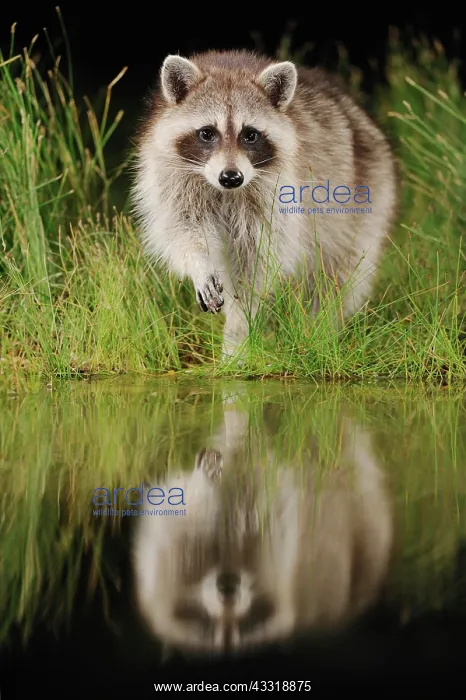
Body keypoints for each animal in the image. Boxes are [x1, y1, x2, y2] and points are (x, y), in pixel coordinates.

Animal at [131, 50, 398, 358]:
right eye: (207, 133)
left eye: (250, 135)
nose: (231, 177)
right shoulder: (173, 178)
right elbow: (184, 229)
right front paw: (199, 264)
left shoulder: (278, 194)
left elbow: (258, 259)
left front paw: (239, 326)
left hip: (367, 198)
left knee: (338, 274)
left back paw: (322, 329)